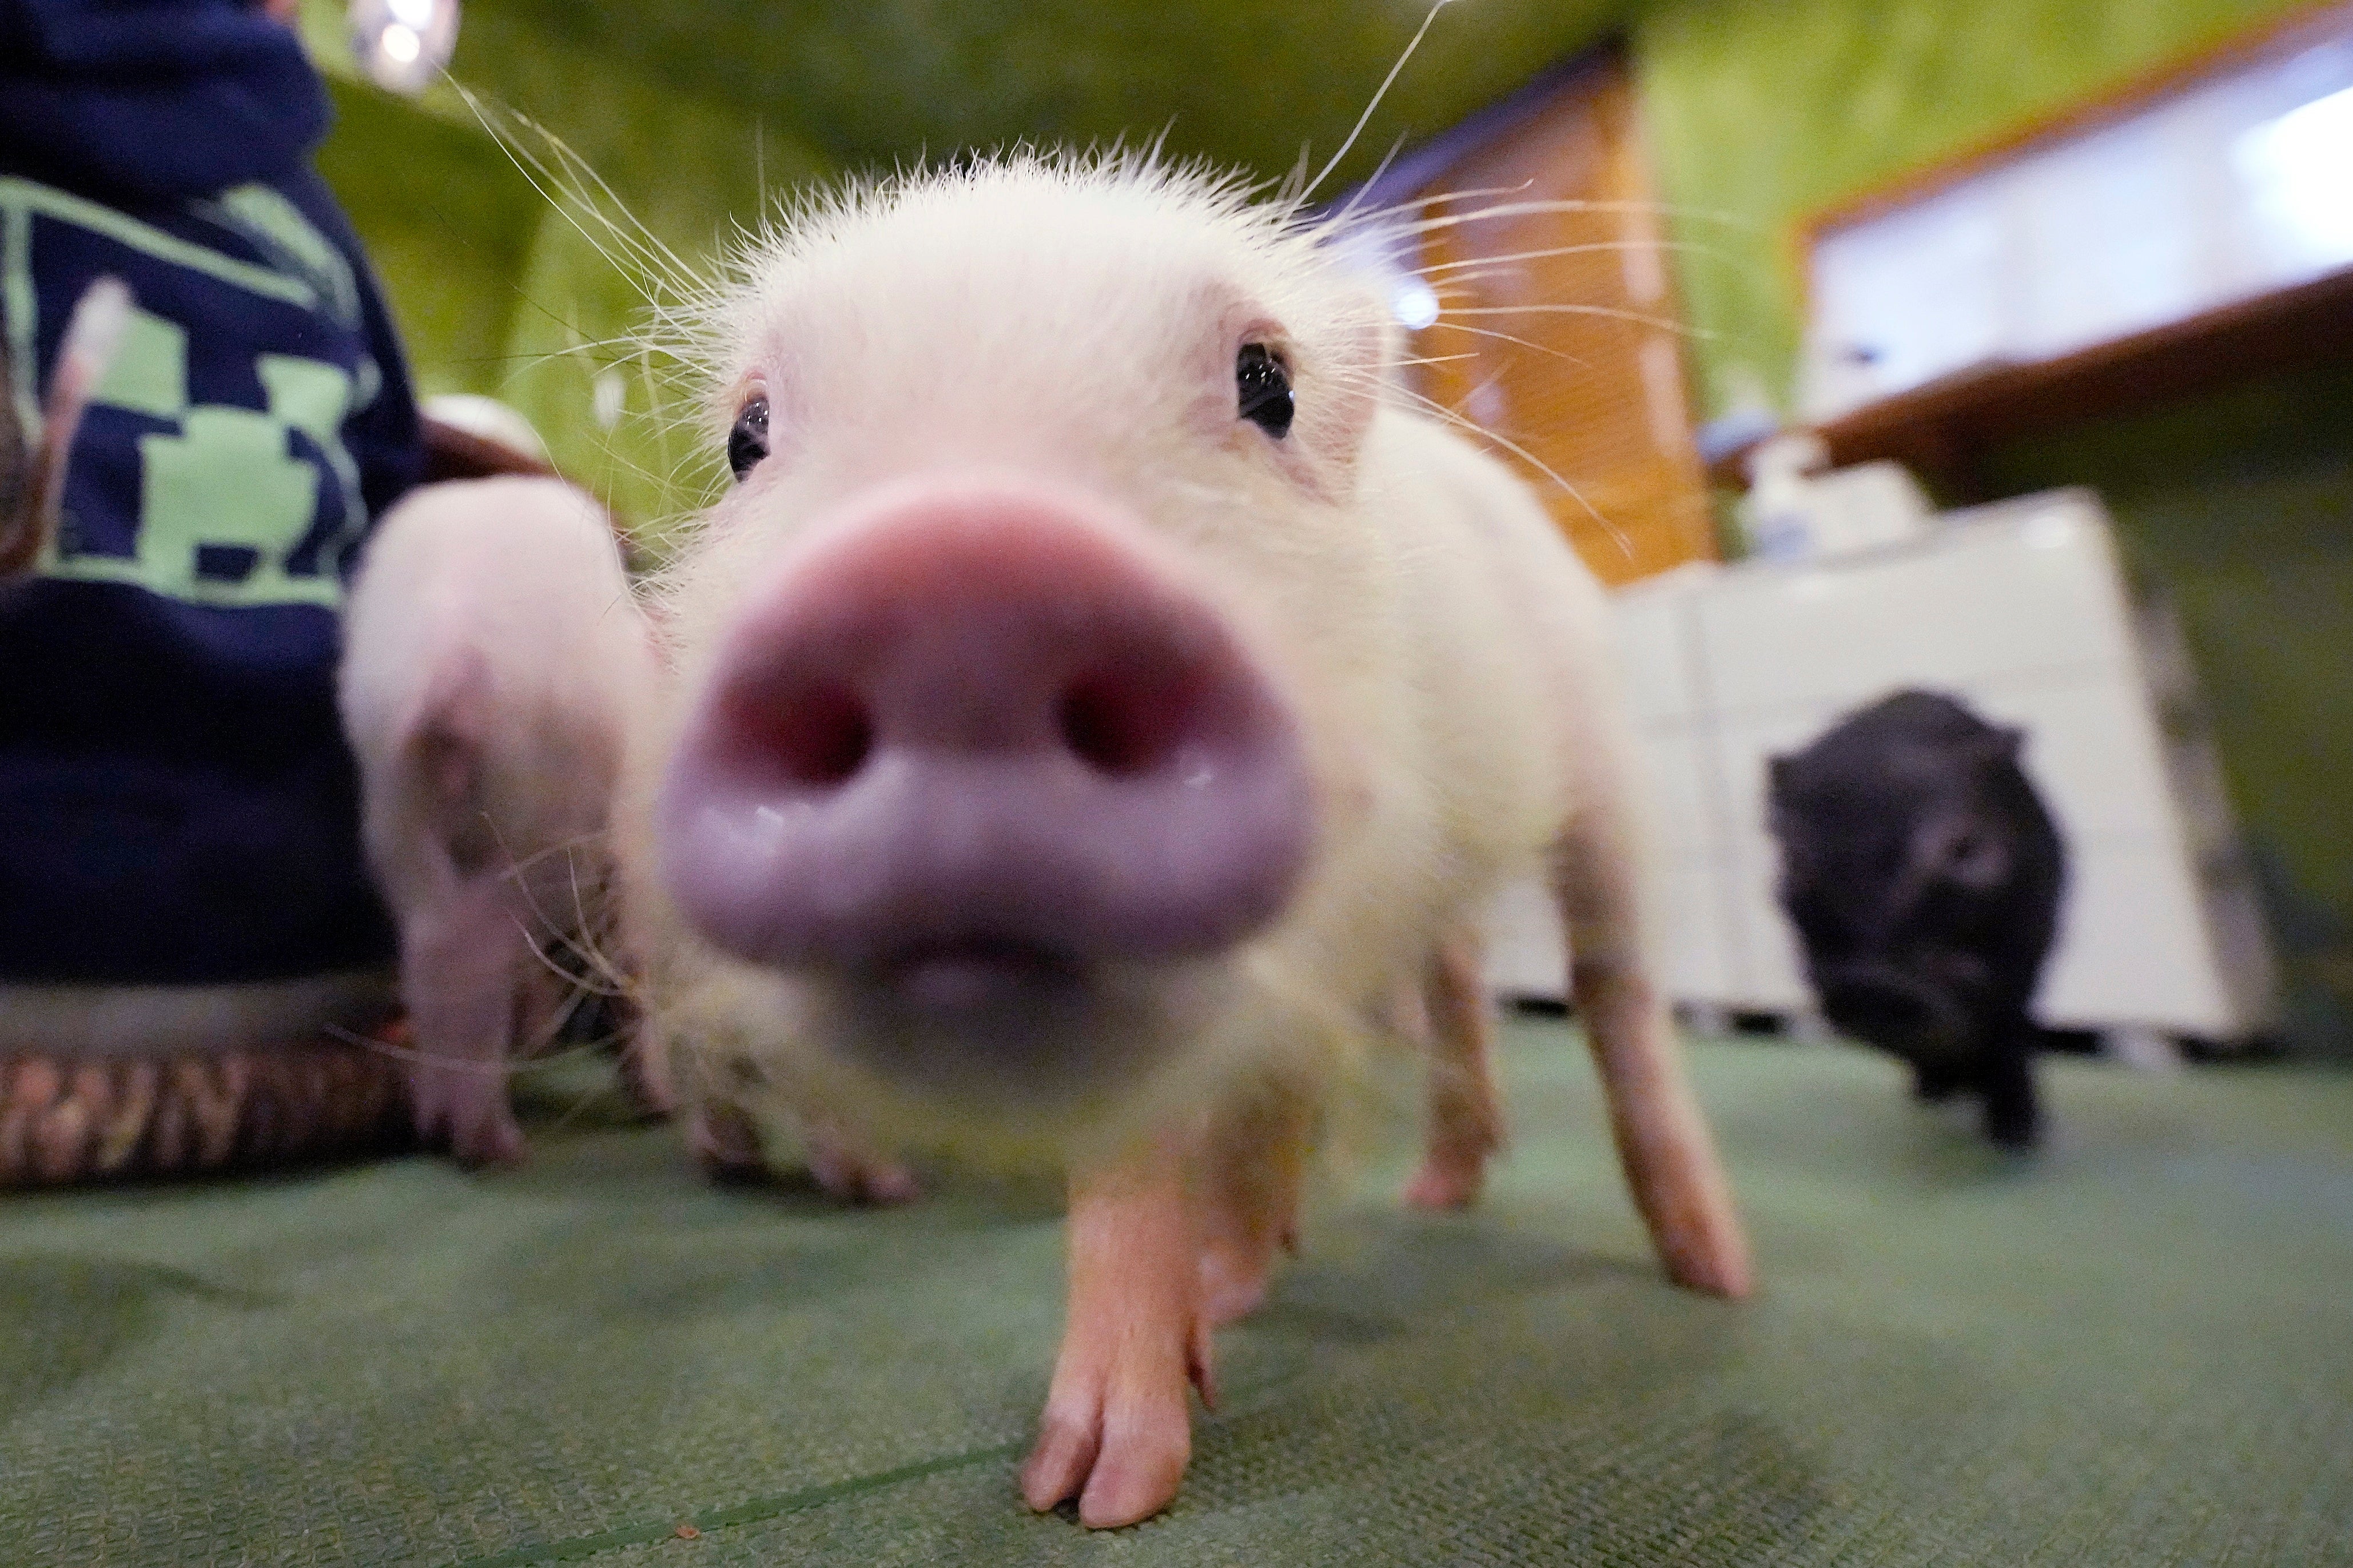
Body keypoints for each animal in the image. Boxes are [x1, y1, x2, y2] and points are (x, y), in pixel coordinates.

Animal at [339, 476, 666, 1164]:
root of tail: (451, 660)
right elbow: (632, 972)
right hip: (540, 826)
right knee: (483, 954)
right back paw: (493, 1143)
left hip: (394, 806)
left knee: (434, 948)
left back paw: (440, 1124)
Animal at [613, 152, 1753, 1527]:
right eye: (747, 437)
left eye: (1267, 385)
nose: (959, 582)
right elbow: (1153, 1147)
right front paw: (1077, 1483)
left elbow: (1239, 1113)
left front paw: (1126, 1458)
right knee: (1456, 979)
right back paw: (1433, 1192)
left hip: (1598, 767)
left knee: (1612, 983)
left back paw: (1715, 1274)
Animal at [1767, 688, 2067, 1149]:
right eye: (1793, 861)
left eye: (1965, 849)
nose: (1871, 984)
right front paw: (1935, 1092)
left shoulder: (2026, 955)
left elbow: (2009, 1033)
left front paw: (2015, 1137)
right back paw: (1931, 1093)